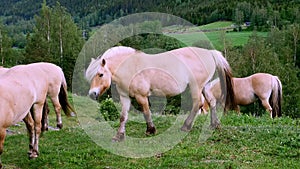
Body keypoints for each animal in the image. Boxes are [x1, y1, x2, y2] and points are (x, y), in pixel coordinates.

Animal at [85, 46, 236, 141]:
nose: (92, 93)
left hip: (196, 86)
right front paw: (119, 136)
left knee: (197, 104)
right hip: (204, 86)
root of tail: (210, 52)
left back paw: (186, 126)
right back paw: (214, 124)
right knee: (211, 102)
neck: (130, 66)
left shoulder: (141, 96)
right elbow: (123, 116)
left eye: (100, 74)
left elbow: (146, 112)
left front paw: (150, 130)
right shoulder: (125, 97)